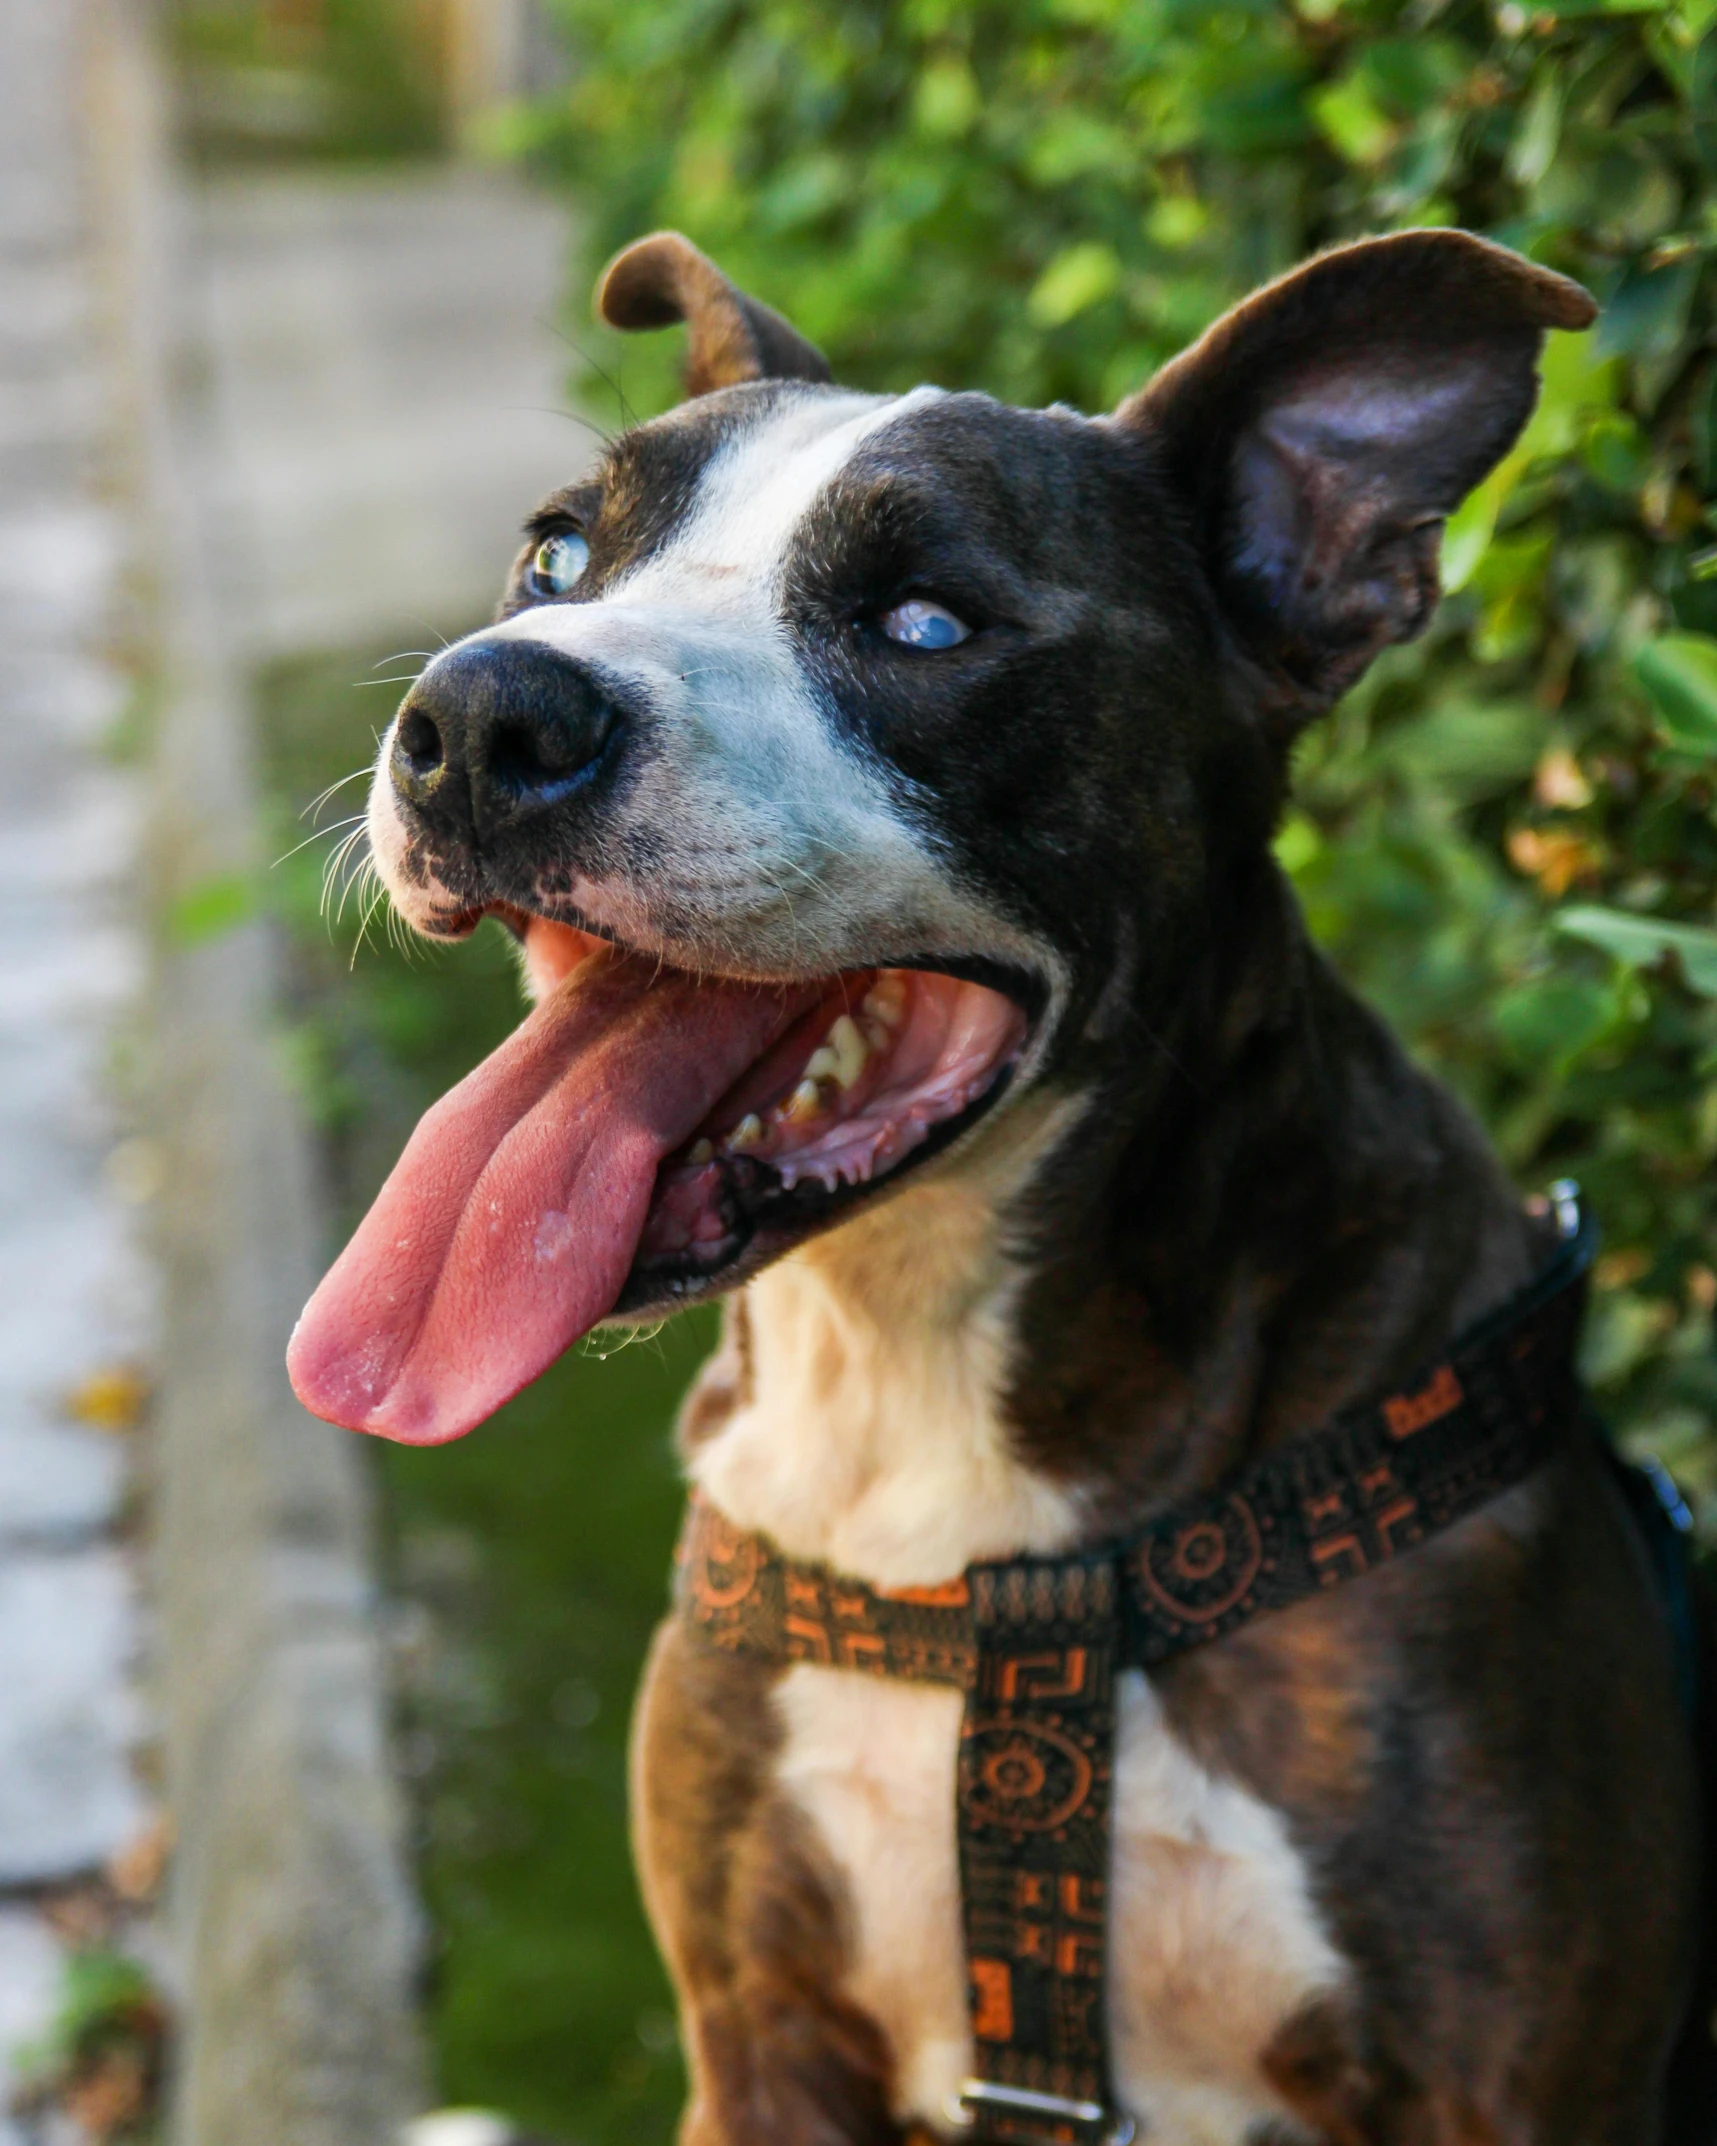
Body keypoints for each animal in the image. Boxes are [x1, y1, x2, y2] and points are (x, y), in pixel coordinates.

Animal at [291, 226, 1717, 2137]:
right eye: (557, 554)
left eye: (924, 623)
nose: (480, 710)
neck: (918, 1407)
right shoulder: (758, 2039)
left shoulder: (1509, 2087)